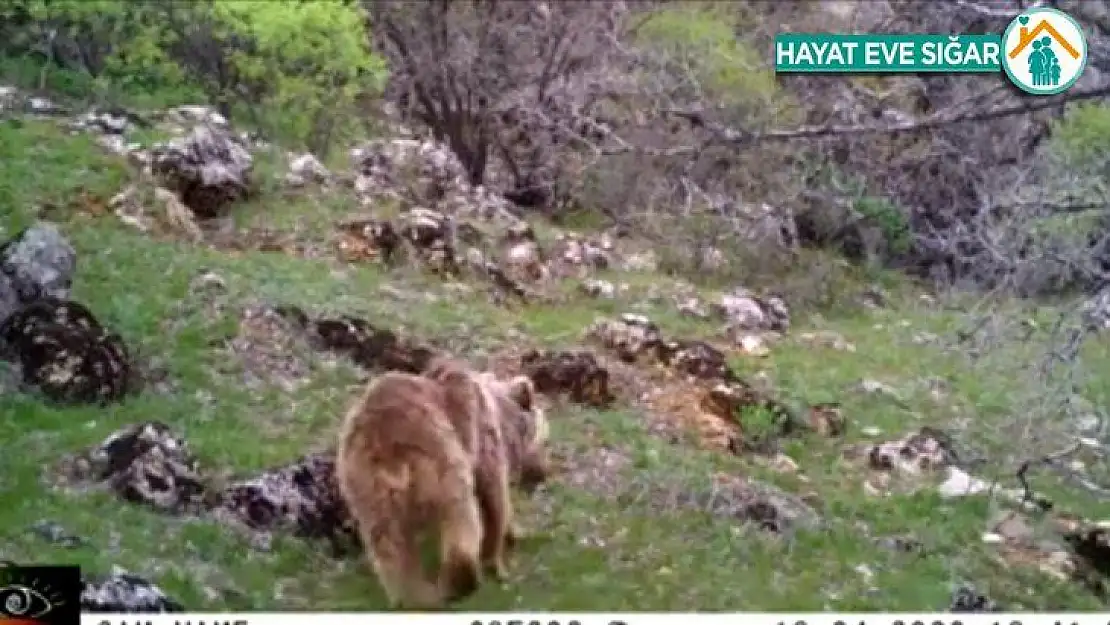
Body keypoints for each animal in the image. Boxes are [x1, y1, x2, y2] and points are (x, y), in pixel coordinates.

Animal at [335, 359, 548, 608]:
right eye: (544, 438)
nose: (543, 472)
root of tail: (385, 448)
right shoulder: (481, 438)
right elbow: (493, 497)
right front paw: (501, 553)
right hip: (444, 463)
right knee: (461, 516)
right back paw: (461, 581)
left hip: (365, 491)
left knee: (389, 545)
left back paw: (413, 597)